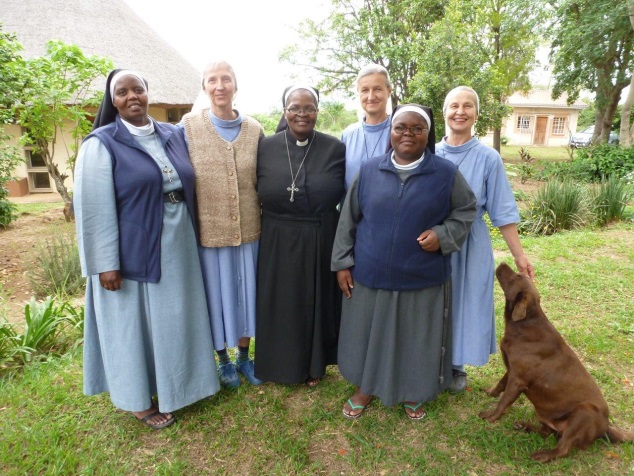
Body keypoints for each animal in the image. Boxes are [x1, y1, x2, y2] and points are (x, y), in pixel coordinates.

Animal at [476, 260, 628, 462]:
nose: (502, 262)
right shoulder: (511, 370)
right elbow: (500, 384)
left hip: (583, 412)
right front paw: (489, 393)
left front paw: (490, 417)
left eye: (516, 276)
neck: (525, 323)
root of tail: (606, 428)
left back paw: (542, 455)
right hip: (547, 415)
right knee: (547, 433)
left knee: (563, 447)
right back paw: (524, 426)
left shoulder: (518, 380)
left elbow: (504, 401)